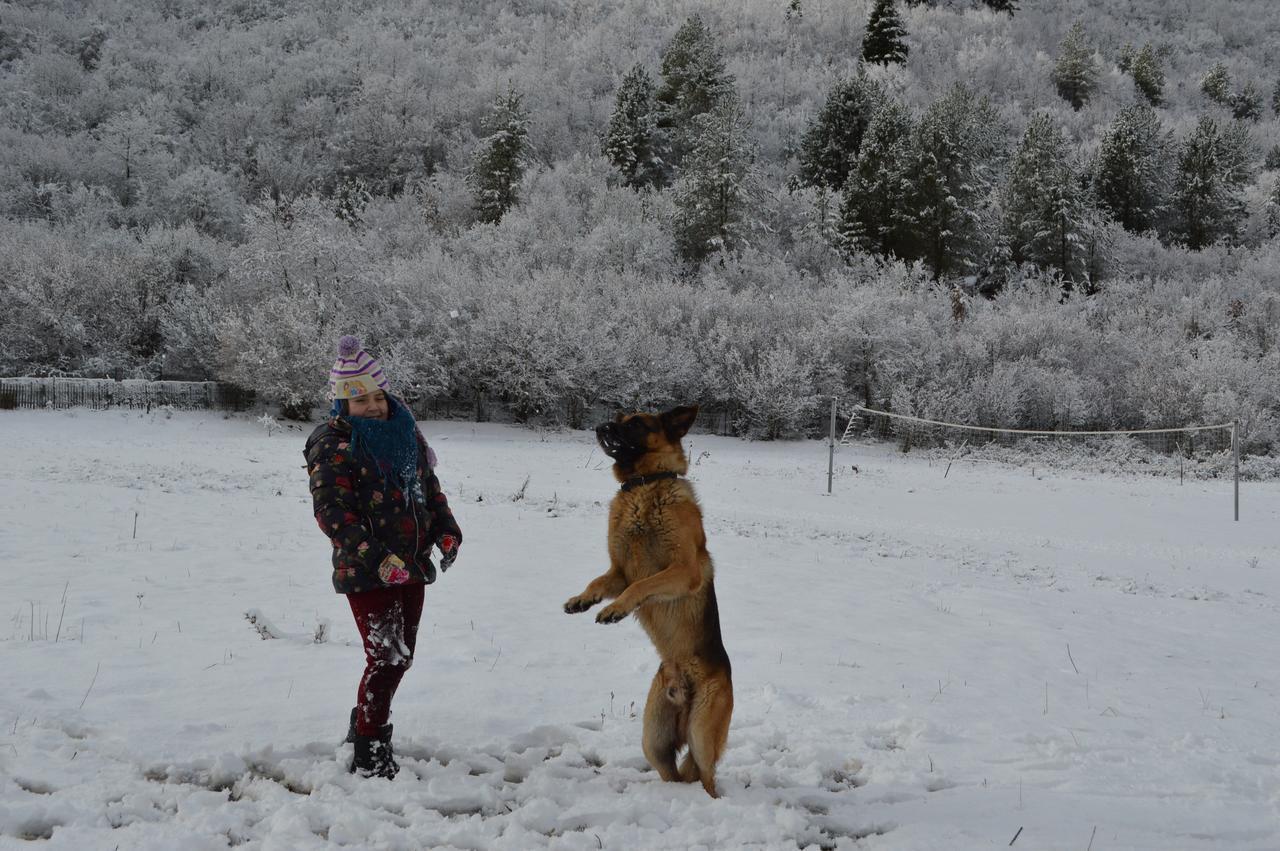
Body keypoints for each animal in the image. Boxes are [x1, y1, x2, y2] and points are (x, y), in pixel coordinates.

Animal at [565, 404, 737, 798]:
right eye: (617, 418)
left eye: (637, 424)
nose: (601, 426)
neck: (644, 485)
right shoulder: (618, 572)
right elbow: (599, 580)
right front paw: (583, 600)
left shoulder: (681, 571)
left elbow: (644, 585)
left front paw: (614, 609)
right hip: (654, 739)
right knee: (674, 773)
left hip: (702, 734)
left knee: (707, 777)